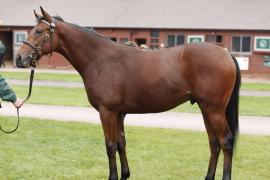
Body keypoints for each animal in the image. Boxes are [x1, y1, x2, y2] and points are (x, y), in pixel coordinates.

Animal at [16, 6, 240, 179]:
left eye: (39, 31)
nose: (19, 59)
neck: (100, 59)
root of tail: (225, 53)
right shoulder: (119, 114)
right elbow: (121, 143)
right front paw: (125, 174)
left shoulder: (107, 112)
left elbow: (110, 145)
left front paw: (113, 176)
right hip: (205, 109)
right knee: (214, 143)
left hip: (214, 110)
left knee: (226, 142)